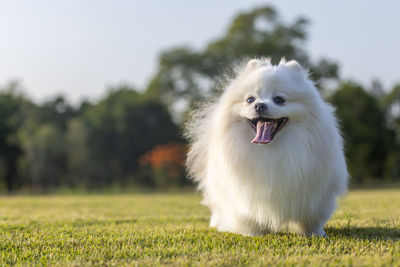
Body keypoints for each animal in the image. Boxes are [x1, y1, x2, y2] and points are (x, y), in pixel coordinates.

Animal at [186, 58, 348, 237]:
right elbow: (246, 216)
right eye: (250, 99)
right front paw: (251, 233)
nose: (260, 105)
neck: (269, 151)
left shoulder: (315, 194)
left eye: (279, 99)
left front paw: (314, 233)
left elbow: (312, 218)